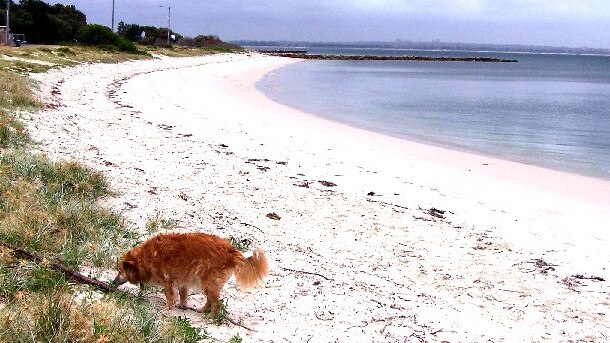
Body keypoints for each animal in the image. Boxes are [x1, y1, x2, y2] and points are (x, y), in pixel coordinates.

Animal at [112, 234, 268, 318]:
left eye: (120, 271)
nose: (113, 282)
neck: (145, 258)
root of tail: (232, 252)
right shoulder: (183, 282)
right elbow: (183, 296)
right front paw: (182, 306)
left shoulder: (167, 281)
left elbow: (170, 296)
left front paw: (167, 308)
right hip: (208, 284)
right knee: (210, 301)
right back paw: (203, 311)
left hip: (208, 283)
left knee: (217, 304)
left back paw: (211, 317)